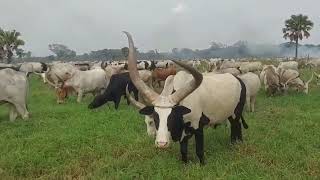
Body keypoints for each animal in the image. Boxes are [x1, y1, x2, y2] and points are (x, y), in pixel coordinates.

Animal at [124, 31, 246, 164]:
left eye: (171, 117)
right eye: (155, 117)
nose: (161, 143)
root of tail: (238, 79)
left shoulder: (198, 128)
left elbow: (199, 151)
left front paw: (202, 164)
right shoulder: (183, 134)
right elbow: (183, 151)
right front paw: (185, 163)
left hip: (236, 112)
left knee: (236, 125)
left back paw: (235, 143)